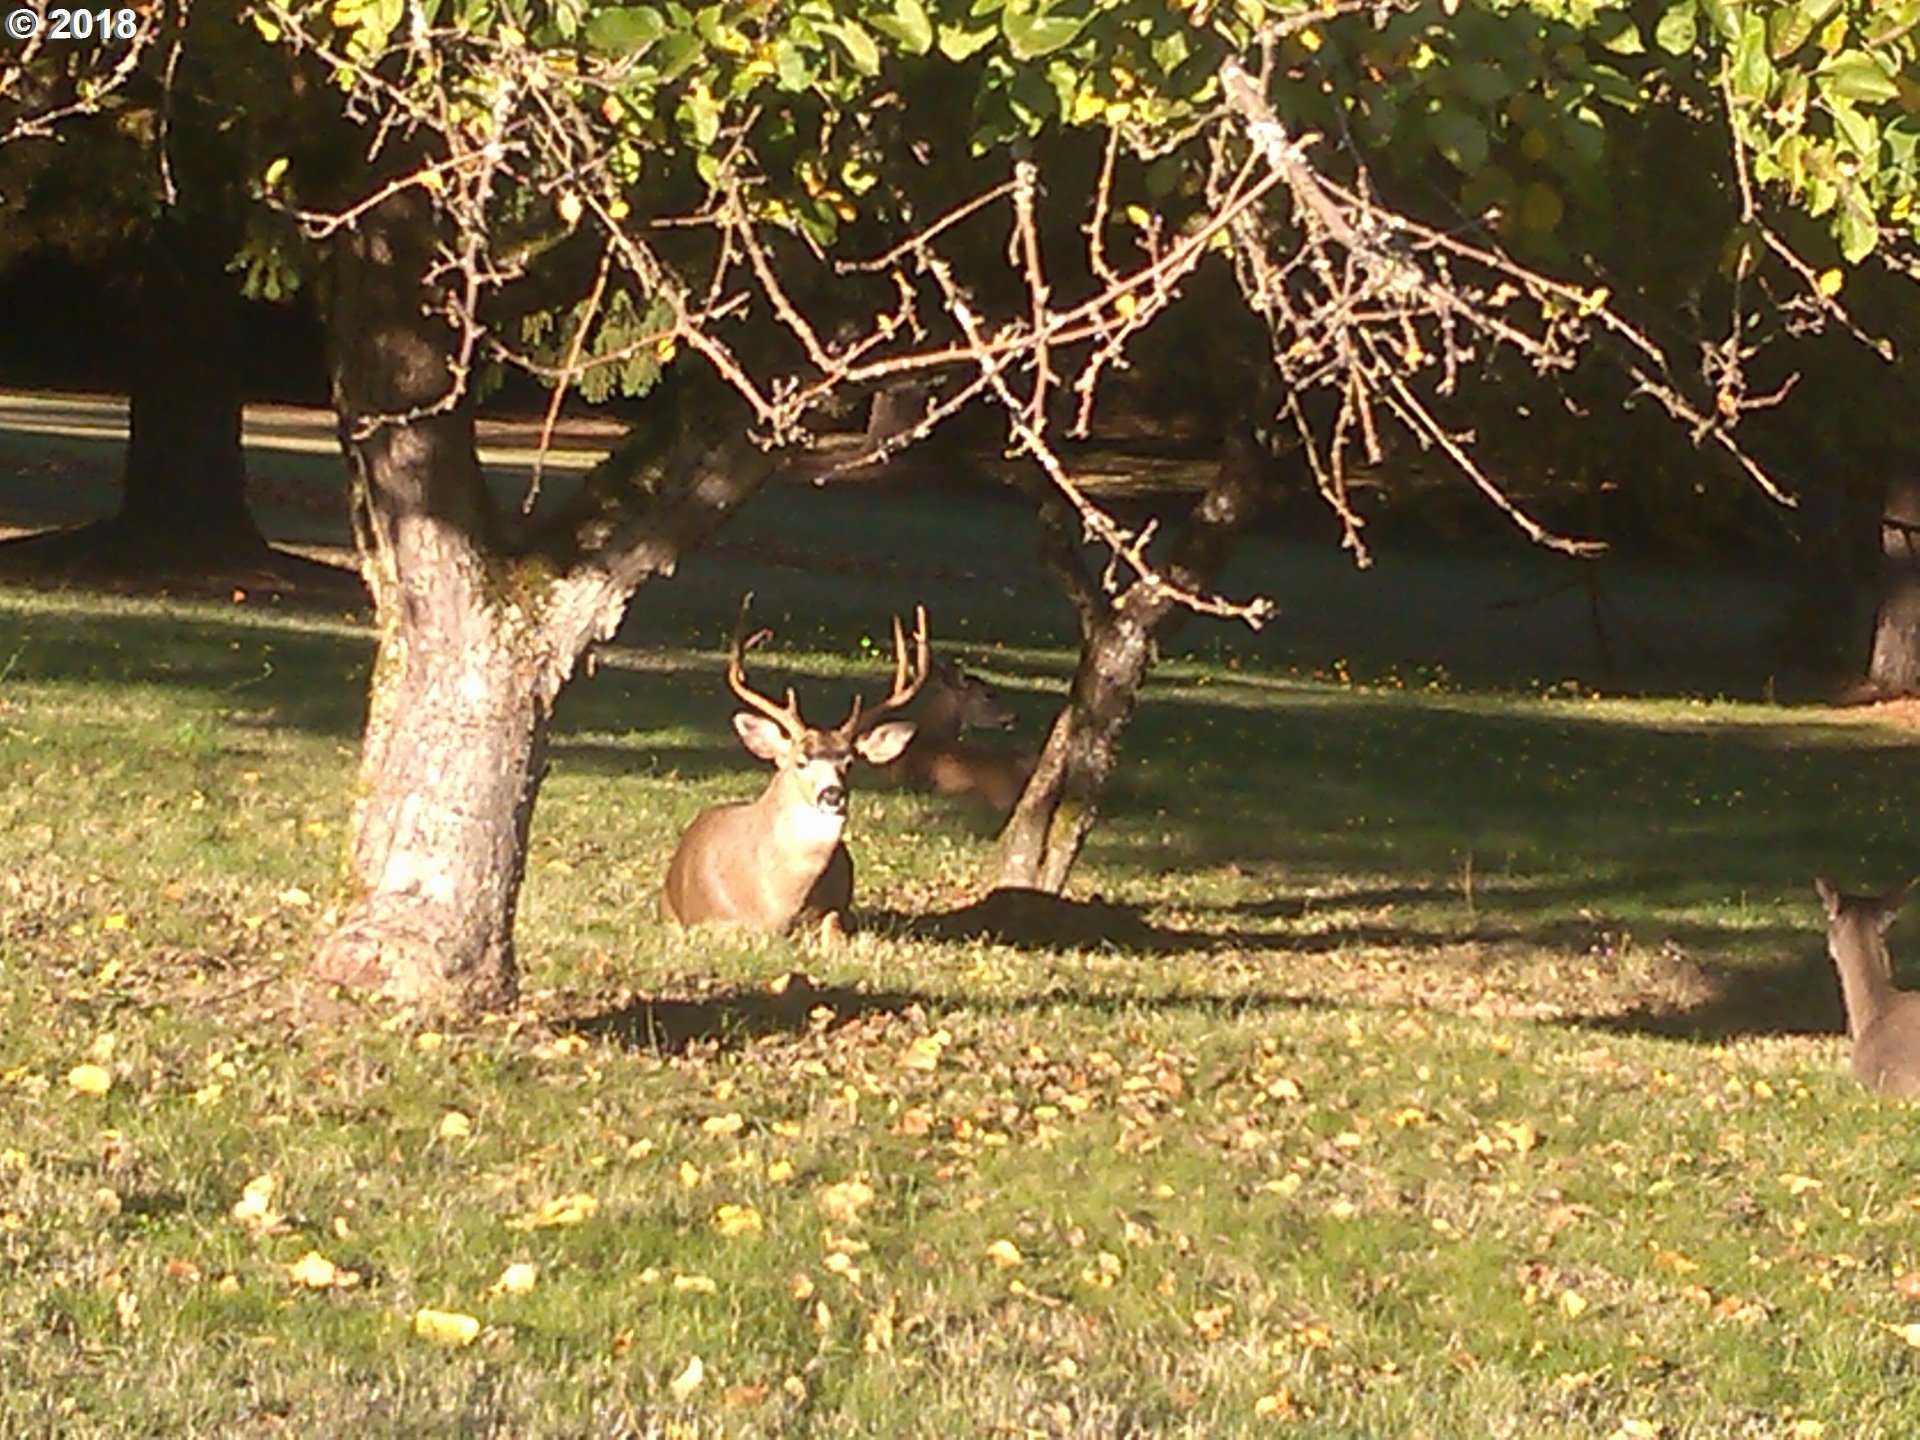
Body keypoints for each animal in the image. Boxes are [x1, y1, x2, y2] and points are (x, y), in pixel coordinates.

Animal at [660, 600, 929, 940]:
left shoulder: (837, 911)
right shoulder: (710, 919)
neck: (781, 901)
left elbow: (834, 925)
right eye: (801, 761)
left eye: (849, 763)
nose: (832, 794)